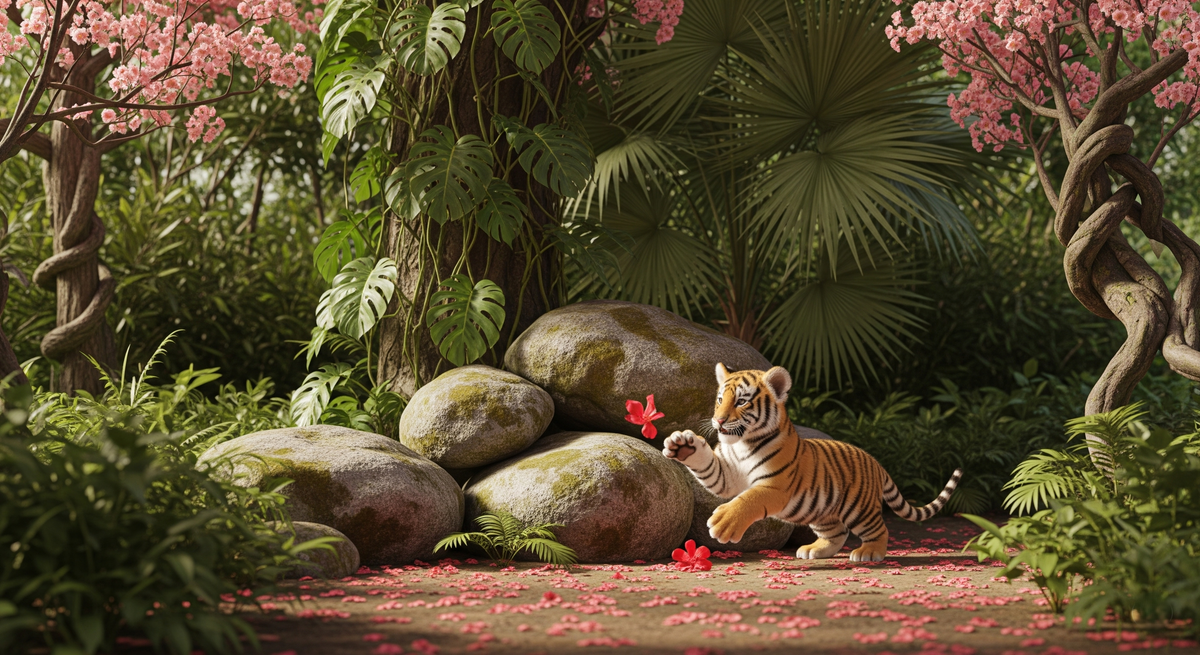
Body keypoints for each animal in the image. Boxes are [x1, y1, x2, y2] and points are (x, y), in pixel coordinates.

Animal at [663, 363, 962, 562]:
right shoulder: (726, 475)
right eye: (719, 400)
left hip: (860, 509)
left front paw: (723, 523)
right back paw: (814, 551)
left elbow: (749, 499)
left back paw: (869, 553)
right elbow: (709, 467)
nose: (719, 421)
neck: (742, 445)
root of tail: (875, 461)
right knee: (837, 533)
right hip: (823, 512)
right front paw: (684, 445)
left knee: (879, 529)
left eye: (742, 401)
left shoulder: (775, 487)